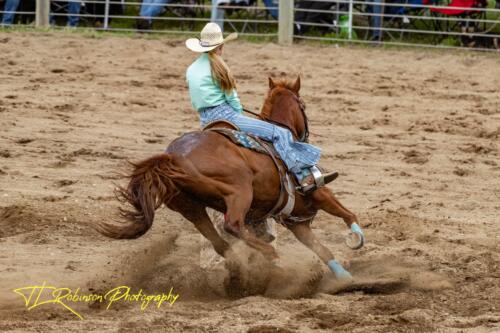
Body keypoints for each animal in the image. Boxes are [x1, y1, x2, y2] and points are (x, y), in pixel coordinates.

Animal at [97, 76, 364, 276]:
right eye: (303, 106)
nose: (306, 133)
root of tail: (173, 158)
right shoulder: (320, 195)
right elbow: (347, 214)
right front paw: (356, 239)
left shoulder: (296, 221)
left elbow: (322, 249)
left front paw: (344, 278)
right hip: (239, 191)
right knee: (232, 225)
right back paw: (270, 256)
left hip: (190, 207)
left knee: (220, 243)